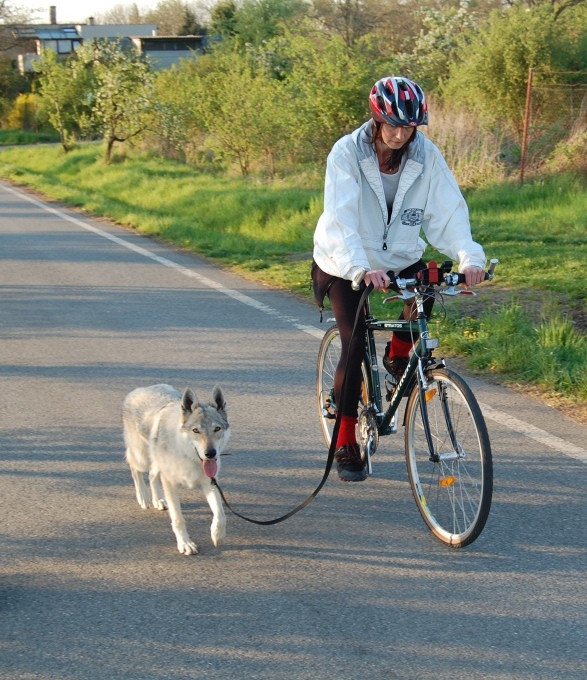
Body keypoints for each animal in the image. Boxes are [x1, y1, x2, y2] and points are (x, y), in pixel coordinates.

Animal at [122, 386, 230, 556]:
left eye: (217, 429)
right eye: (196, 430)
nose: (210, 453)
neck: (189, 456)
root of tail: (140, 389)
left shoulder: (210, 482)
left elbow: (220, 514)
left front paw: (217, 534)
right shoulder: (170, 483)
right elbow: (178, 519)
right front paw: (185, 544)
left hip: (156, 462)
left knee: (152, 476)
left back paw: (158, 500)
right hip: (142, 458)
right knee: (134, 467)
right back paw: (144, 497)